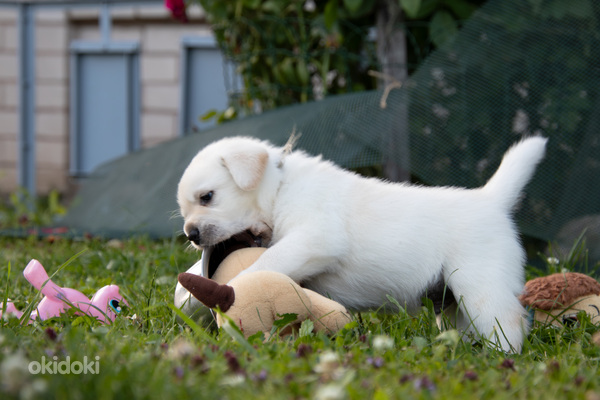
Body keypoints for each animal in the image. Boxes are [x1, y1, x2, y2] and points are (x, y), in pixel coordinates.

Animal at [176, 136, 548, 352]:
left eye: (207, 197)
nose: (191, 234)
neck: (280, 188)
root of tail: (491, 201)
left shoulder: (315, 238)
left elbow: (264, 265)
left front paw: (231, 294)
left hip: (482, 287)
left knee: (507, 325)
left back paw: (499, 359)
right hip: (453, 299)